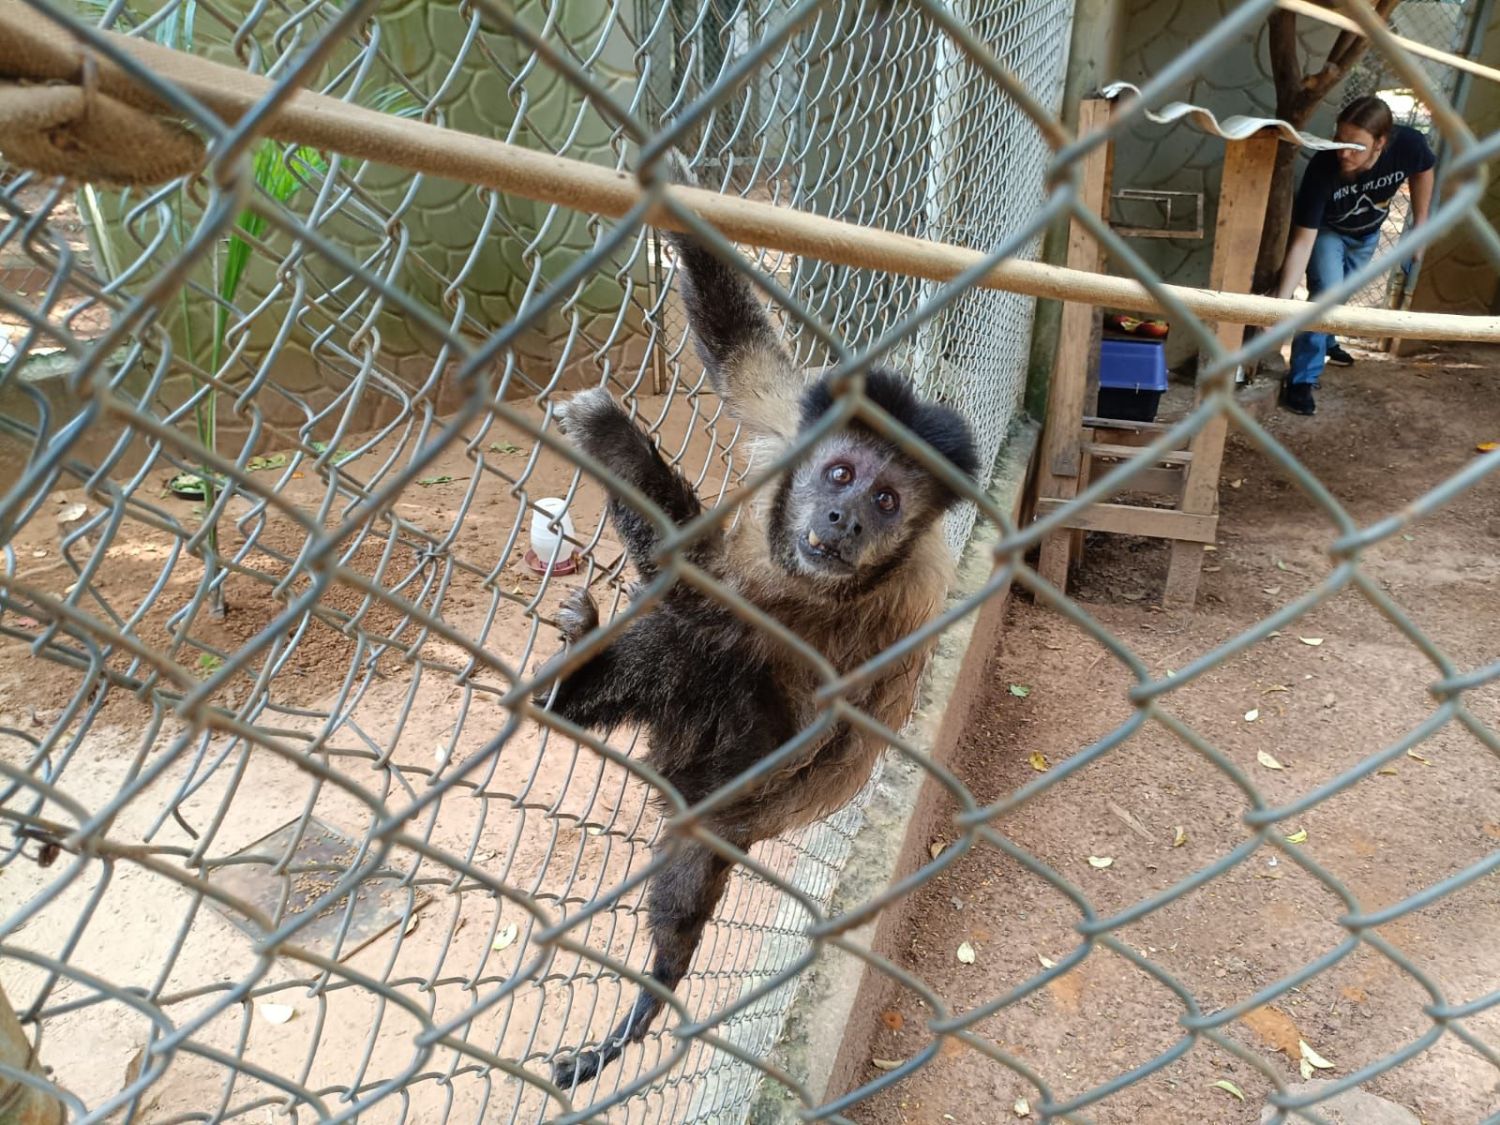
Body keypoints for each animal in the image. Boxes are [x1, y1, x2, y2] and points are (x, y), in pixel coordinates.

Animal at [535, 225, 980, 1090]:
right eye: (841, 473)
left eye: (887, 501)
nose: (843, 519)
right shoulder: (792, 425)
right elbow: (742, 356)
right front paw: (675, 203)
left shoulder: (890, 598)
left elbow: (707, 596)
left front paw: (612, 440)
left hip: (728, 767)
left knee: (711, 651)